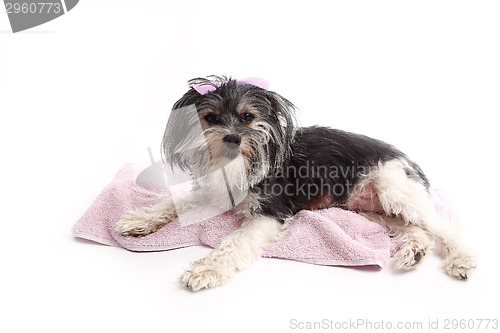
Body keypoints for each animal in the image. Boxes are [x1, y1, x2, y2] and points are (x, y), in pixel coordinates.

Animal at [116, 75, 476, 288]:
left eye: (248, 117)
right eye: (210, 118)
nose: (231, 139)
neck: (242, 163)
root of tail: (405, 159)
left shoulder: (269, 212)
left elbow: (234, 243)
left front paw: (206, 269)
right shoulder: (216, 193)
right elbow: (174, 202)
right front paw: (139, 218)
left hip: (393, 188)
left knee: (443, 228)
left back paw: (461, 259)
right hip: (369, 209)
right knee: (415, 228)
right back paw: (414, 251)